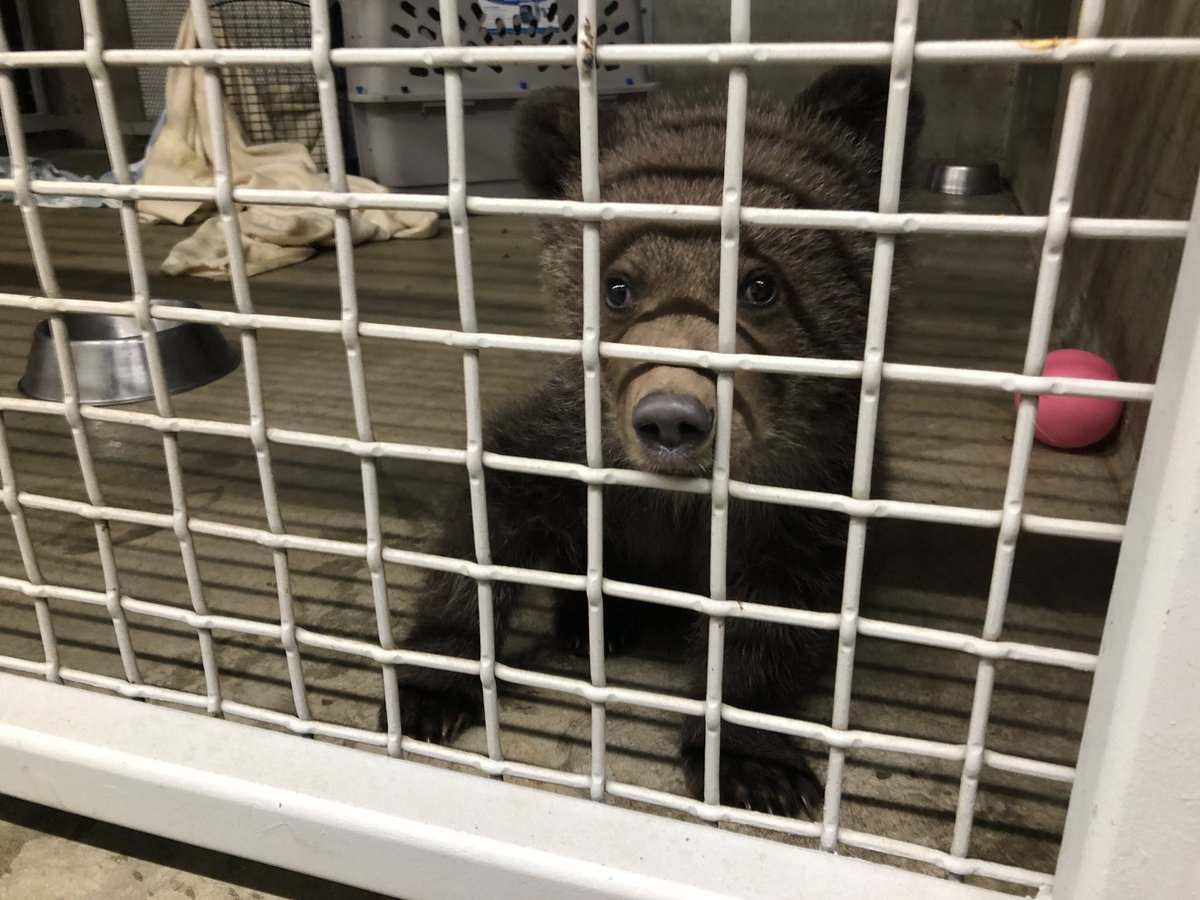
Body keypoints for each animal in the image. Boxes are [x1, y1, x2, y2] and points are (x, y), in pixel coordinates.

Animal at [387, 66, 924, 818]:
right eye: (618, 286)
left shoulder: (807, 496)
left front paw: (754, 763)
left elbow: (771, 617)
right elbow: (491, 520)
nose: (672, 417)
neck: (682, 496)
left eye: (760, 285)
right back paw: (596, 621)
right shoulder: (570, 442)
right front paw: (432, 686)